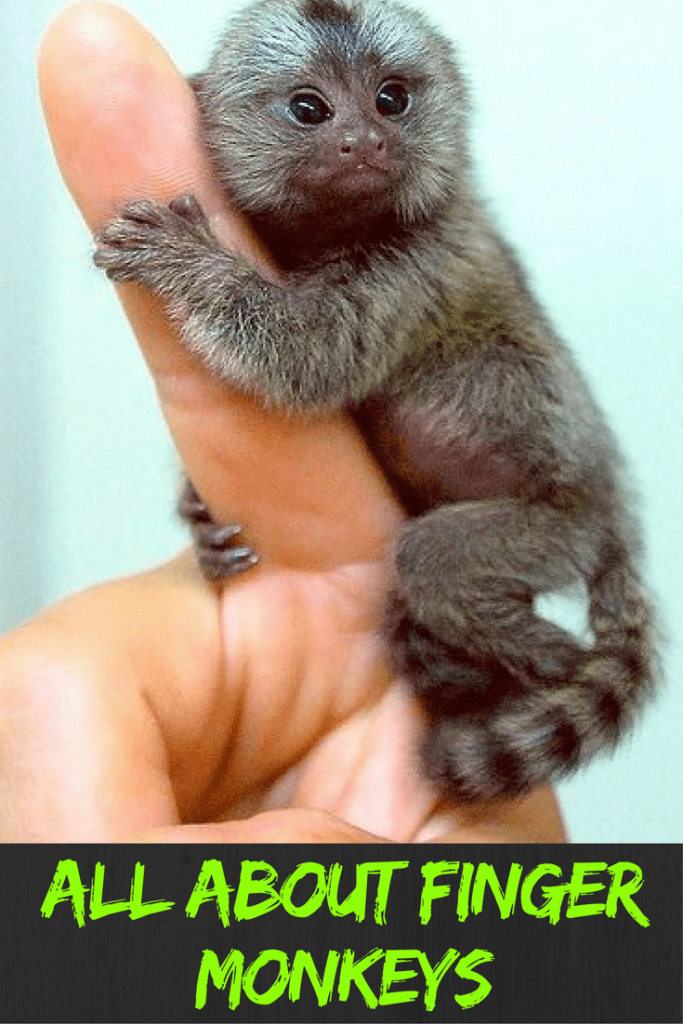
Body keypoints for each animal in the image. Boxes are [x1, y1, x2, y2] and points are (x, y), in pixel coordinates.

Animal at [93, 0, 656, 801]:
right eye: (310, 109)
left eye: (392, 99)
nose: (364, 141)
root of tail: (614, 509)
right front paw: (197, 515)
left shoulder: (411, 272)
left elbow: (304, 355)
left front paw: (187, 261)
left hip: (558, 529)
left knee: (432, 559)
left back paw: (539, 653)